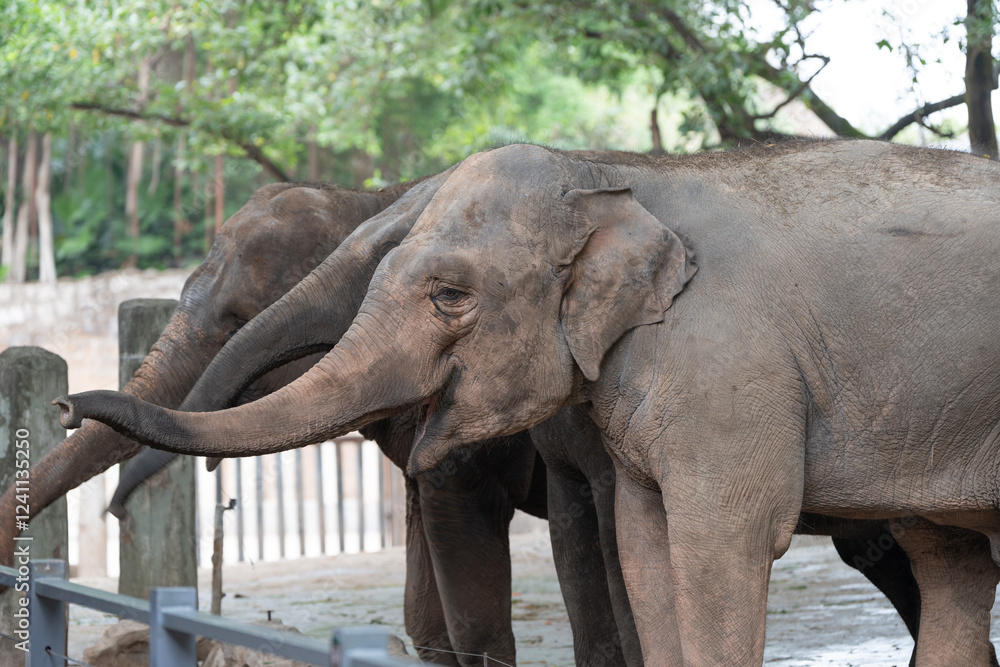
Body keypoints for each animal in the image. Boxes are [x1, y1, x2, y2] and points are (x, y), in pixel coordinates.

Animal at [59, 141, 1000, 664]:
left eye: (448, 296)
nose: (69, 406)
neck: (617, 179)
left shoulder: (728, 371)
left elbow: (709, 544)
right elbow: (640, 547)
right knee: (946, 563)